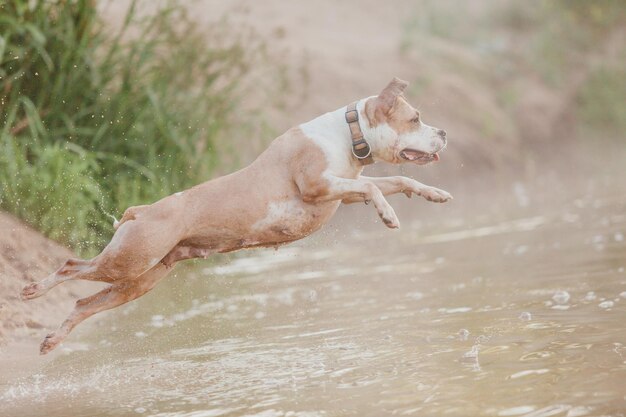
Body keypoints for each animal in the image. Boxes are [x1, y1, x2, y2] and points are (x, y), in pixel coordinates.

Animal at [19, 76, 448, 352]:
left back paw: (53, 339)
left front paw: (435, 193)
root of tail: (142, 210)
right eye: (415, 119)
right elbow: (375, 188)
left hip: (140, 279)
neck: (348, 135)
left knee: (82, 304)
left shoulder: (344, 192)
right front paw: (389, 215)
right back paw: (33, 290)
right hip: (129, 259)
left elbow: (395, 179)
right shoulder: (317, 186)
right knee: (72, 265)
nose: (443, 133)